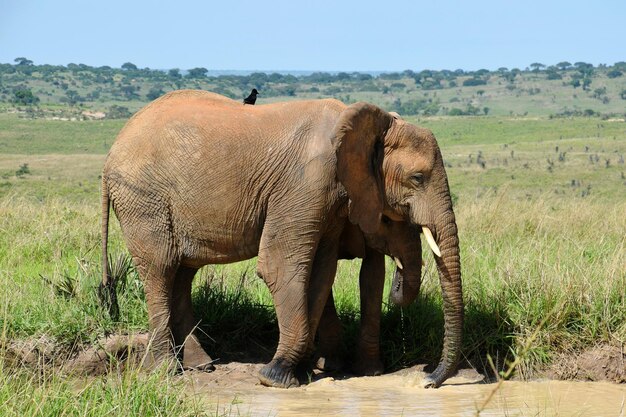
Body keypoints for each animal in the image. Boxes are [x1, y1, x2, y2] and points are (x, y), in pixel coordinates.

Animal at [100, 90, 460, 386]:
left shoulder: (330, 203)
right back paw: (167, 371)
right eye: (418, 178)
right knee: (160, 269)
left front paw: (299, 372)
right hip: (143, 199)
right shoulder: (305, 185)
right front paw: (276, 377)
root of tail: (111, 152)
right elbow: (281, 267)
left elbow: (321, 273)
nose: (428, 380)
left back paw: (201, 365)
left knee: (181, 272)